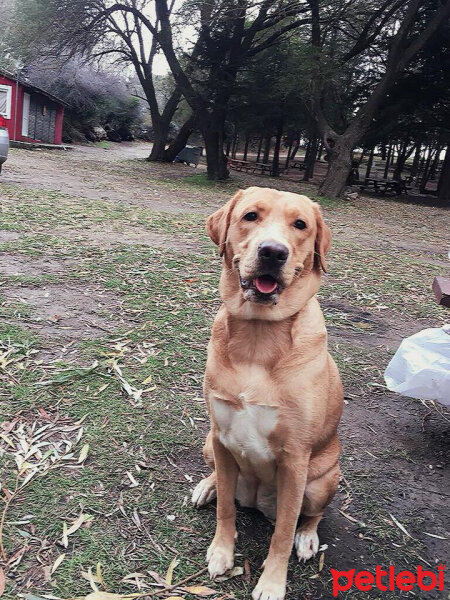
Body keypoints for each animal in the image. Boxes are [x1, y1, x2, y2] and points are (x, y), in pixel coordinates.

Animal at [192, 188, 342, 600]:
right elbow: (226, 509)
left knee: (311, 515)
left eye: (300, 225)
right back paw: (207, 487)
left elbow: (283, 532)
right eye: (250, 216)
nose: (273, 252)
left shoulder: (295, 459)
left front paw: (272, 583)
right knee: (221, 480)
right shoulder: (222, 436)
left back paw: (308, 538)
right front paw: (221, 552)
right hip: (209, 444)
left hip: (323, 480)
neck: (258, 340)